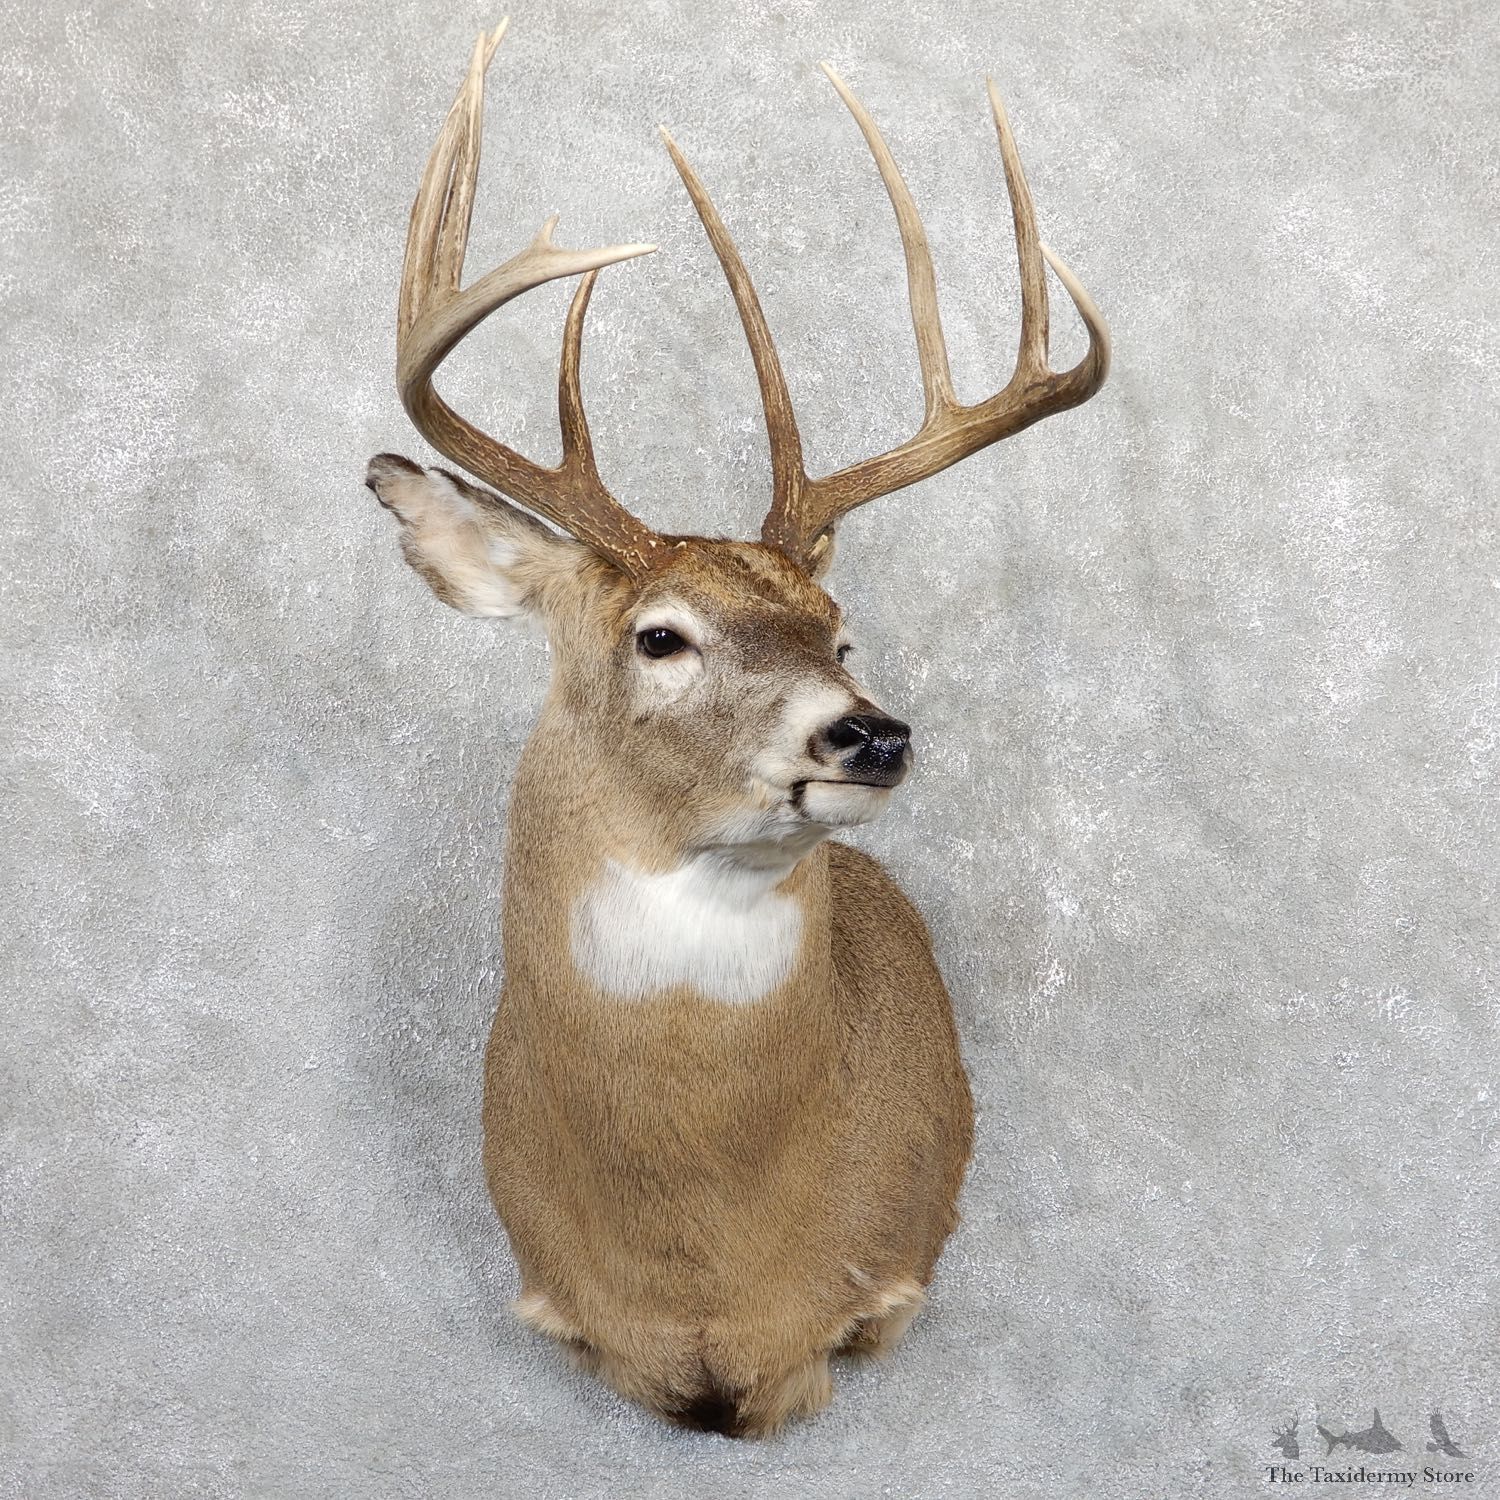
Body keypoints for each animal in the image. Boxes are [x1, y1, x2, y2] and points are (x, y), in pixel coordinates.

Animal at [363, 19, 1108, 1438]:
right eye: (660, 637)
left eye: (840, 632)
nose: (868, 734)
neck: (703, 1258)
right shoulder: (564, 1308)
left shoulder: (881, 1291)